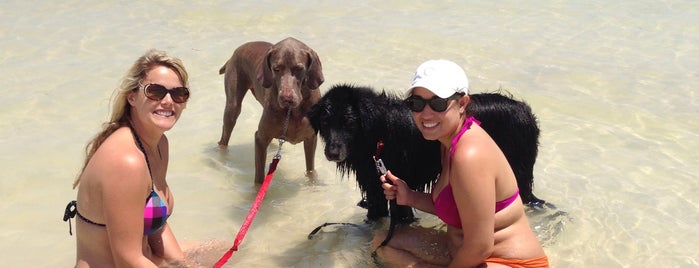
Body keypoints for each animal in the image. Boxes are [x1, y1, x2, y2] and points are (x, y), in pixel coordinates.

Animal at [217, 37, 324, 184]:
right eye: (276, 68)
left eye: (299, 68)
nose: (286, 98)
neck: (292, 110)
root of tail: (236, 51)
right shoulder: (260, 139)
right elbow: (259, 178)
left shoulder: (311, 138)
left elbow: (310, 169)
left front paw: (312, 182)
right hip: (232, 106)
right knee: (225, 135)